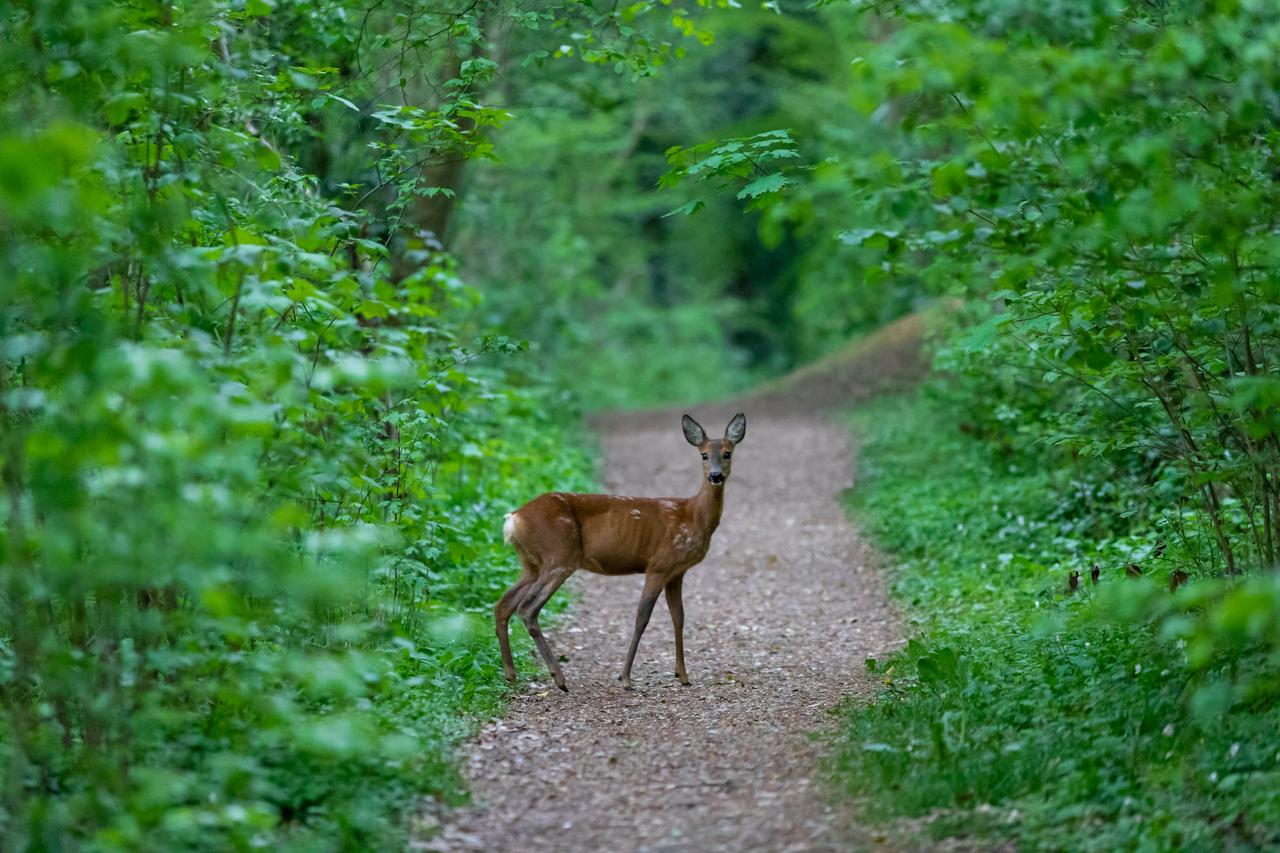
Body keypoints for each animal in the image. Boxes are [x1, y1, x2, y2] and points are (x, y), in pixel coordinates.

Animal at [495, 412, 746, 692]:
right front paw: (625, 678)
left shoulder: (677, 572)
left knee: (502, 605)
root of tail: (513, 519)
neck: (692, 515)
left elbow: (679, 617)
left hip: (531, 564)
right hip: (558, 556)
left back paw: (511, 674)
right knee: (527, 608)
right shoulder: (659, 565)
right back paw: (559, 678)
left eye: (727, 453)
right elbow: (642, 618)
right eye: (703, 455)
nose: (715, 475)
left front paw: (682, 675)